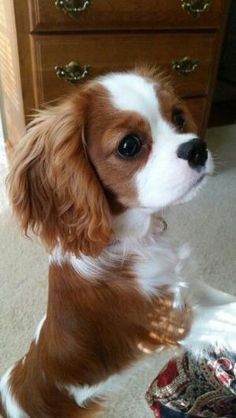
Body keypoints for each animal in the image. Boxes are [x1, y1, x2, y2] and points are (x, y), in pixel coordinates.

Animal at [0, 68, 235, 418]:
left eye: (179, 118)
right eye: (129, 145)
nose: (197, 148)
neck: (137, 240)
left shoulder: (188, 283)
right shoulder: (169, 322)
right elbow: (227, 315)